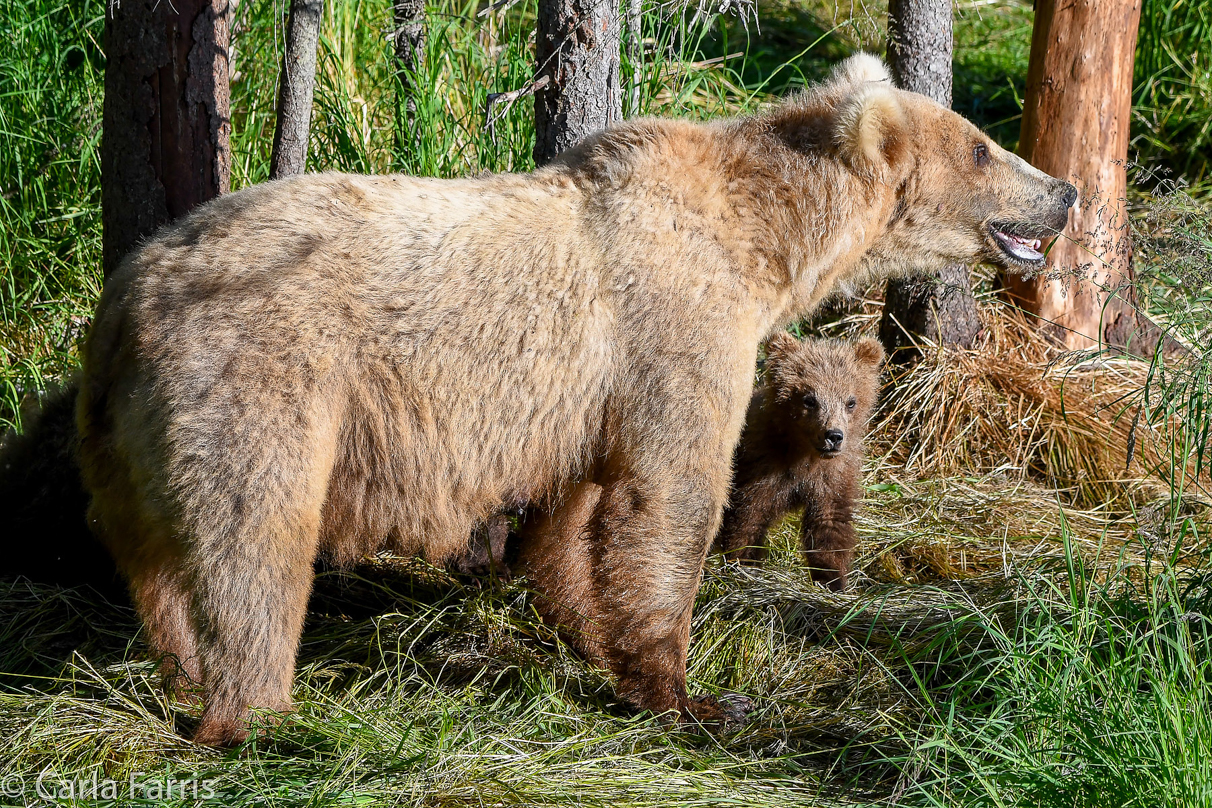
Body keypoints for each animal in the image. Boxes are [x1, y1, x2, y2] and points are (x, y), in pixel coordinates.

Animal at [75, 52, 1076, 746]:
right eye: (984, 145)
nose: (1064, 191)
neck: (764, 242)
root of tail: (131, 291)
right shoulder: (674, 329)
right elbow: (671, 496)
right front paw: (691, 692)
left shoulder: (591, 396)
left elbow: (578, 513)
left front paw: (592, 636)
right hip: (260, 378)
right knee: (255, 538)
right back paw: (257, 711)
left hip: (123, 427)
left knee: (152, 551)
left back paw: (179, 670)